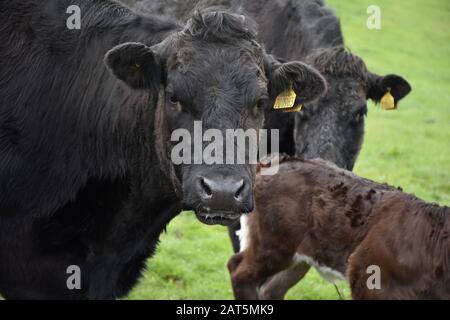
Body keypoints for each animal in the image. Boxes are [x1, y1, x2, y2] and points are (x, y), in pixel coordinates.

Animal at [229, 158, 450, 300]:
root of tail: (278, 161)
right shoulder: (368, 278)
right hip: (273, 244)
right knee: (237, 269)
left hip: (301, 253)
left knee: (272, 289)